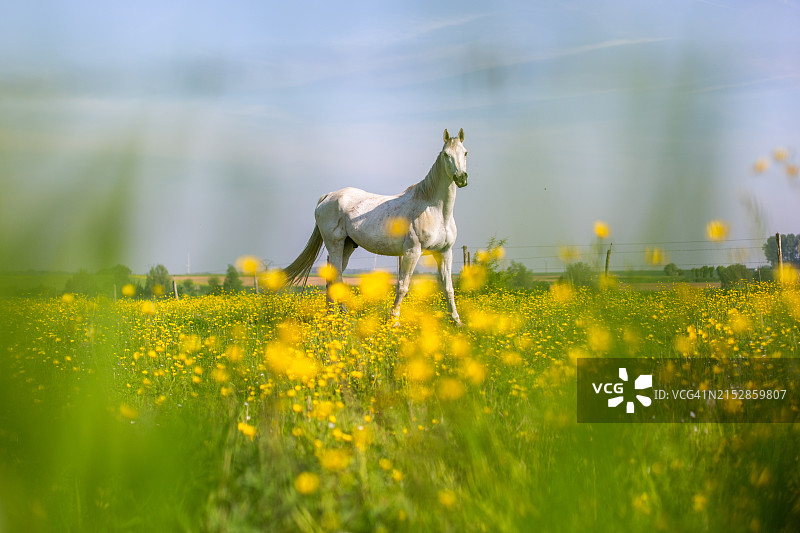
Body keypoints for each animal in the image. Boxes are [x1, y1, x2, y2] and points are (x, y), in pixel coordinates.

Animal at [283, 128, 469, 324]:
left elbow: (448, 287)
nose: (461, 178)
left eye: (465, 152)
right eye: (446, 154)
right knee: (338, 278)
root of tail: (329, 196)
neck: (434, 209)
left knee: (331, 277)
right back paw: (343, 315)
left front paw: (457, 321)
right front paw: (394, 321)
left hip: (347, 246)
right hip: (335, 244)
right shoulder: (412, 251)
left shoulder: (444, 252)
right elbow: (403, 285)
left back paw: (331, 316)